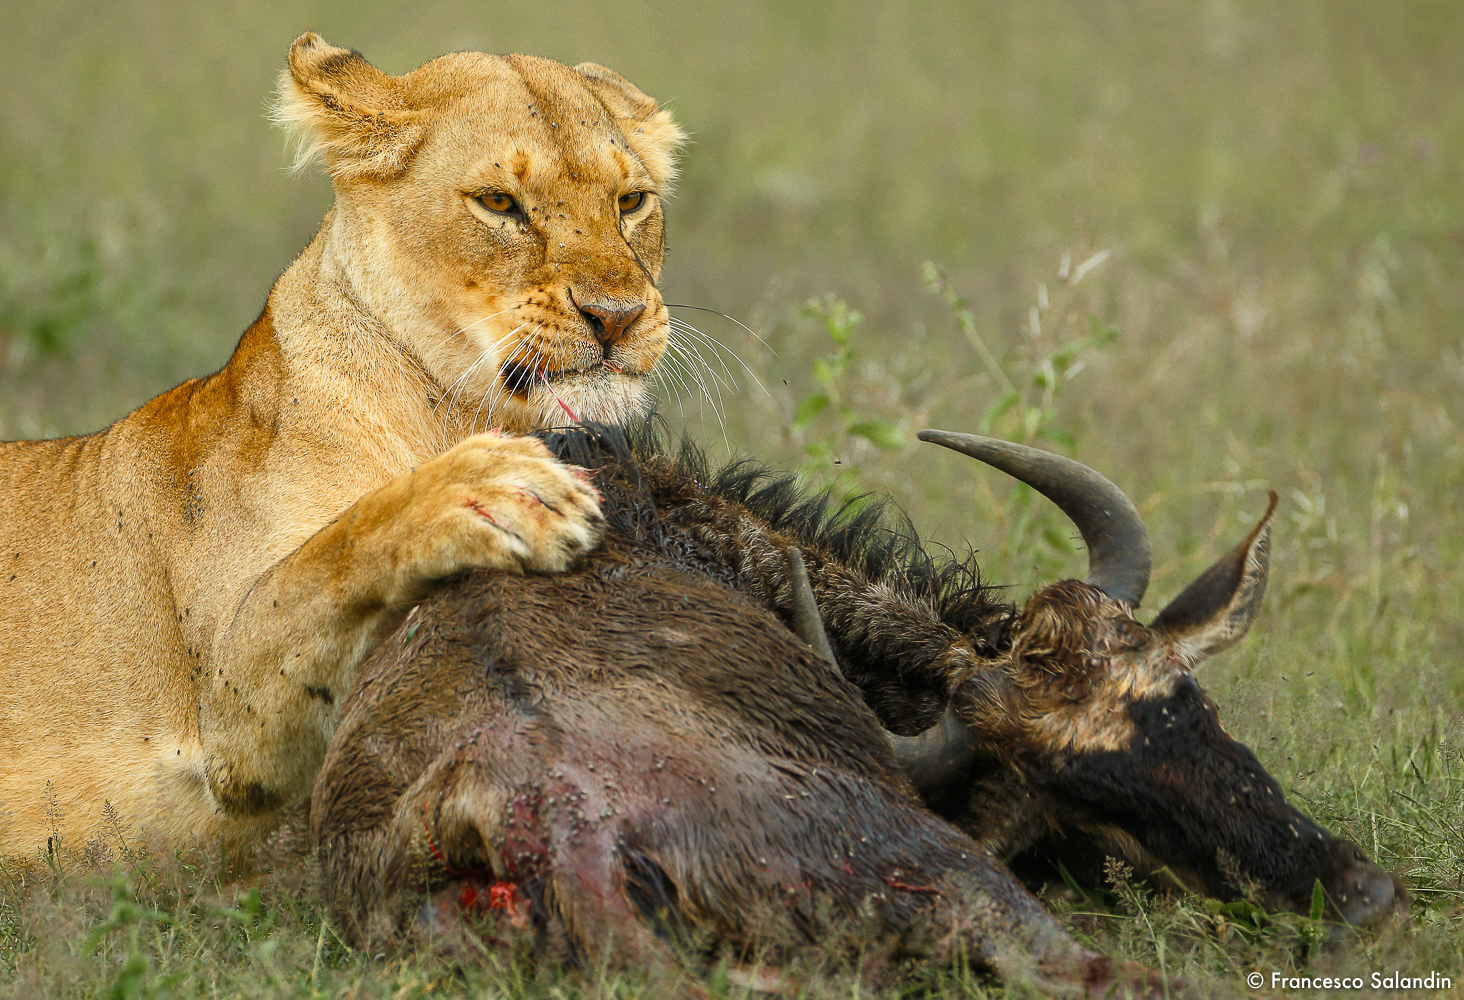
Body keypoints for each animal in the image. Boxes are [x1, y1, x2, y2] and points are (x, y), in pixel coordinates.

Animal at [0, 33, 686, 855]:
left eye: (631, 201)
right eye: (499, 204)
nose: (618, 315)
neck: (448, 411)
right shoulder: (228, 724)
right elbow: (334, 550)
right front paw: (488, 489)